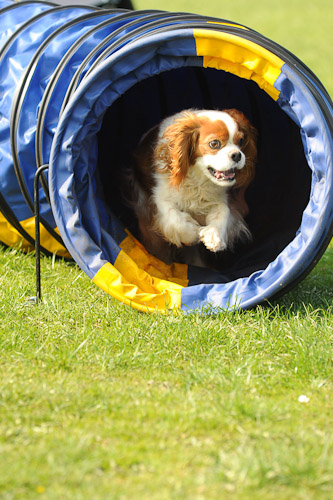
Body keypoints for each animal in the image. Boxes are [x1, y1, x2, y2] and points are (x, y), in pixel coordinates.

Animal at [128, 108, 255, 266]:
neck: (198, 179)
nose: (237, 155)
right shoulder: (158, 198)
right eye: (214, 143)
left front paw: (214, 235)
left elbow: (223, 210)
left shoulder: (219, 198)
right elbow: (173, 216)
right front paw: (192, 234)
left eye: (241, 141)